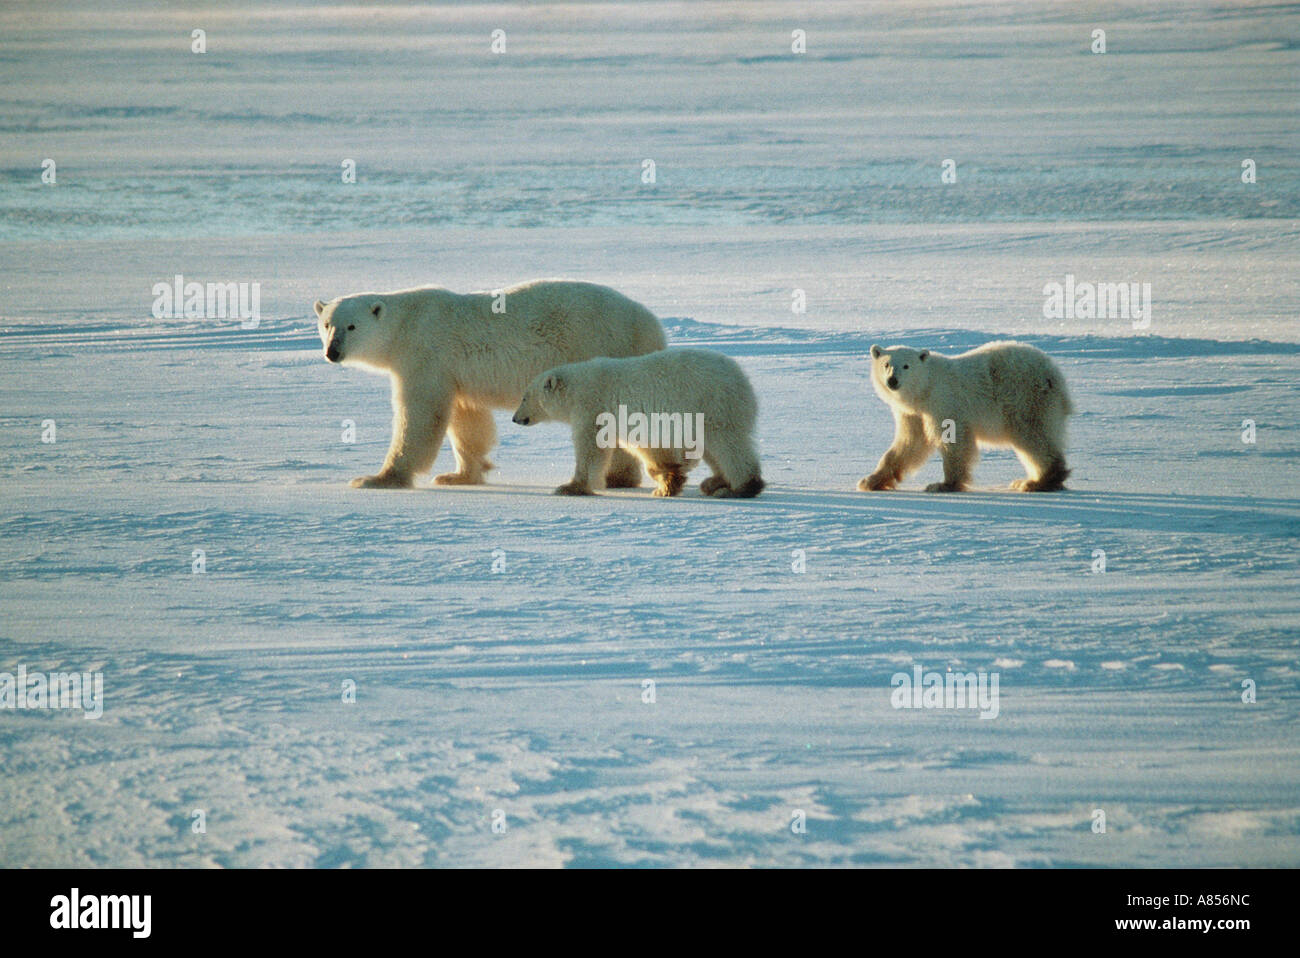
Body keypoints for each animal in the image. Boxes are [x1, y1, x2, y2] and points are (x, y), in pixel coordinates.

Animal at [314, 279, 666, 489]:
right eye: (327, 324)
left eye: (351, 326)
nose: (332, 352)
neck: (407, 322)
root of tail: (652, 325)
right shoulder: (454, 374)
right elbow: (467, 420)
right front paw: (459, 475)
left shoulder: (425, 354)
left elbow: (421, 415)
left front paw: (376, 478)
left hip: (602, 343)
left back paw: (616, 476)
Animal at [511, 348, 765, 498]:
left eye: (524, 396)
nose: (515, 418)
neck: (577, 389)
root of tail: (742, 380)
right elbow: (647, 448)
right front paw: (669, 479)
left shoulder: (593, 408)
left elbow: (590, 449)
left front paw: (570, 487)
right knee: (714, 449)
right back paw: (714, 482)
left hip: (712, 405)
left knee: (728, 446)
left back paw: (740, 488)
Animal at [859, 341, 1074, 493]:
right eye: (886, 364)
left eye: (906, 366)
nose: (892, 380)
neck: (925, 389)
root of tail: (1053, 373)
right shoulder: (913, 413)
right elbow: (909, 443)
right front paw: (870, 480)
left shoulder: (944, 401)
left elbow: (953, 438)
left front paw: (943, 485)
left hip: (1024, 397)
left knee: (1032, 436)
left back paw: (1038, 481)